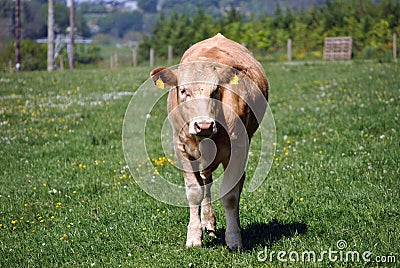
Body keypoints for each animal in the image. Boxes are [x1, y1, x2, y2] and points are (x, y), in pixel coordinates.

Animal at [150, 33, 268, 249]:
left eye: (215, 91)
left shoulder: (238, 150)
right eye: (183, 91)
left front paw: (234, 238)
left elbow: (230, 195)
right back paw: (208, 223)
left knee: (238, 182)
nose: (203, 125)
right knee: (206, 182)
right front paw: (194, 237)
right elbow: (194, 192)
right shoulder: (182, 149)